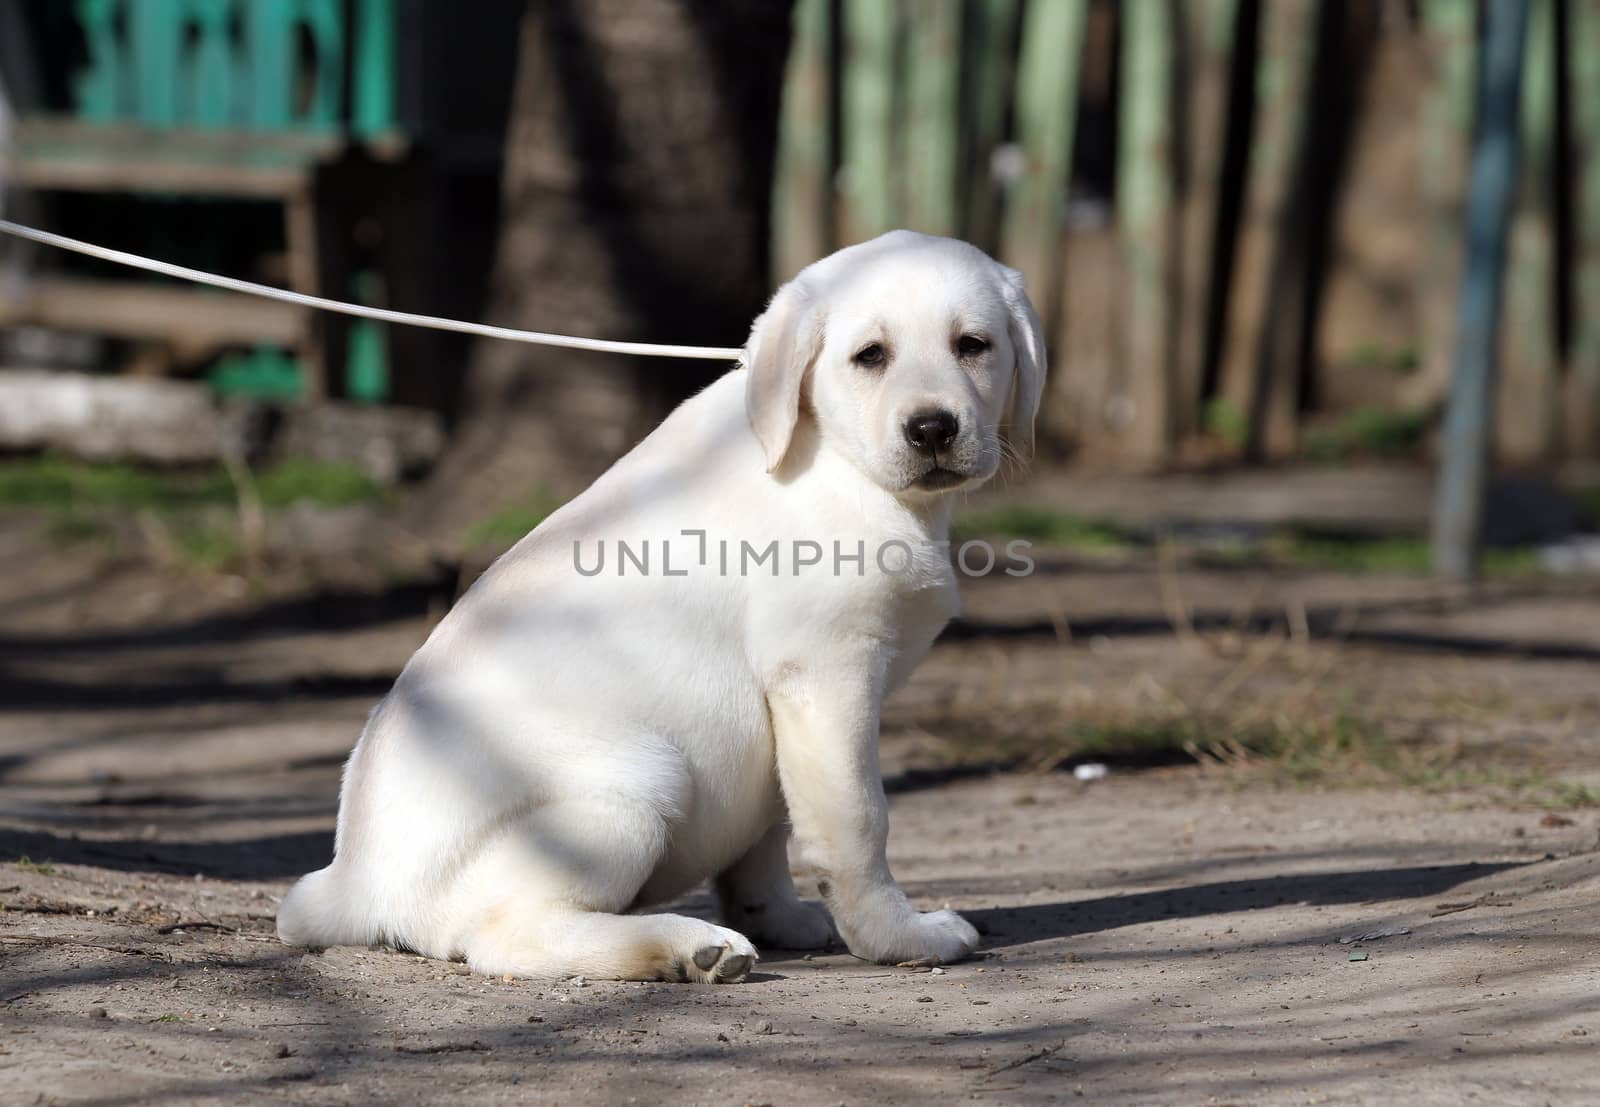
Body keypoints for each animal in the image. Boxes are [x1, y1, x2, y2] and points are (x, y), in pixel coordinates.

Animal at [275, 228, 1049, 979]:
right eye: (871, 356)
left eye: (973, 345)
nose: (933, 429)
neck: (839, 460)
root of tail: (350, 885)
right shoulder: (826, 673)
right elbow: (858, 821)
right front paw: (900, 936)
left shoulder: (780, 712)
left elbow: (770, 829)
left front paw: (780, 915)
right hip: (636, 781)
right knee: (507, 936)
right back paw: (685, 946)